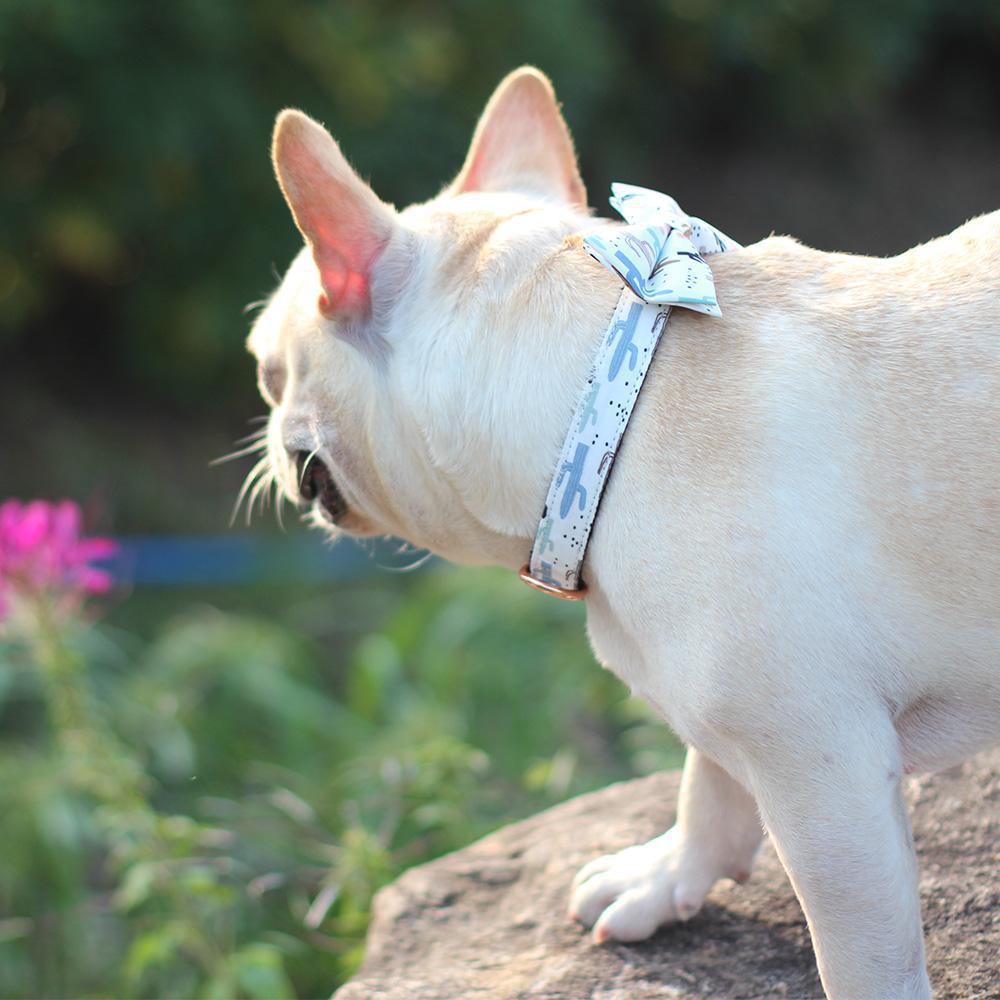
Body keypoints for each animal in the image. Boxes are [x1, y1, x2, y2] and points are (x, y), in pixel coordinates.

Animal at [248, 66, 1000, 996]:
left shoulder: (827, 773)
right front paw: (666, 876)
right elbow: (706, 781)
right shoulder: (749, 717)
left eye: (267, 370)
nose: (265, 433)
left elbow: (863, 955)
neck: (606, 402)